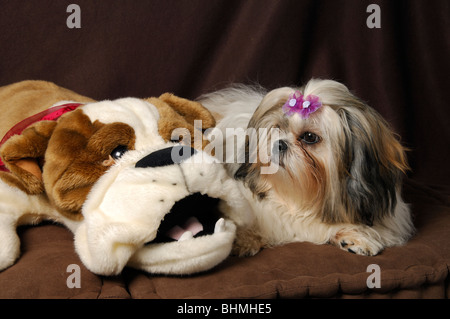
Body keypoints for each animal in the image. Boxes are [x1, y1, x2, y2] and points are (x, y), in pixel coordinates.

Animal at [199, 80, 416, 258]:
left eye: (310, 137)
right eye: (277, 127)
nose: (279, 143)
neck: (299, 199)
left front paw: (357, 237)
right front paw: (244, 239)